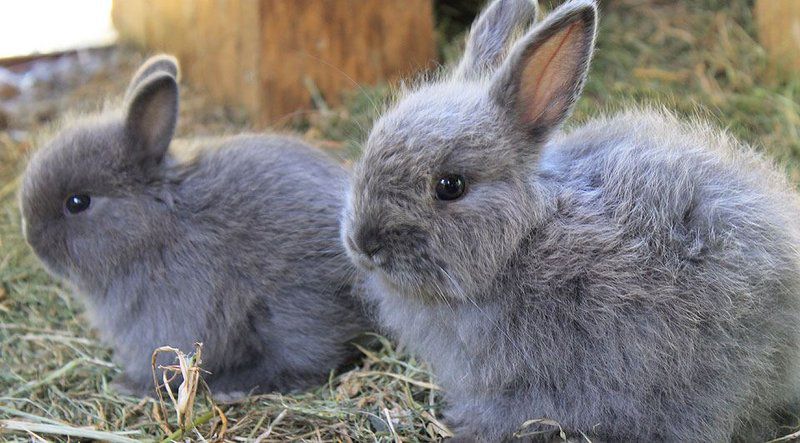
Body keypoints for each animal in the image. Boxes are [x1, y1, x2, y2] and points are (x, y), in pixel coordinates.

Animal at [18, 54, 376, 398]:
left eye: (78, 202)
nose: (32, 242)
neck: (157, 228)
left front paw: (130, 386)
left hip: (294, 309)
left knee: (311, 359)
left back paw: (233, 388)